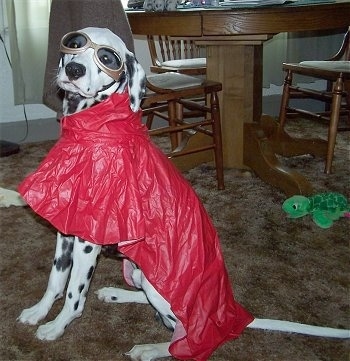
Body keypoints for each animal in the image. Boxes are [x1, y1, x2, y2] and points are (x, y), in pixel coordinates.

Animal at [17, 26, 350, 360]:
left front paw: (56, 327)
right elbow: (56, 280)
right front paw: (38, 312)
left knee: (189, 336)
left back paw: (151, 347)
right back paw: (116, 294)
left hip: (161, 289)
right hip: (140, 274)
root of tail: (231, 315)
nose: (74, 70)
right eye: (74, 44)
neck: (95, 134)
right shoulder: (66, 231)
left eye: (108, 58)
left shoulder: (88, 241)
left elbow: (74, 293)